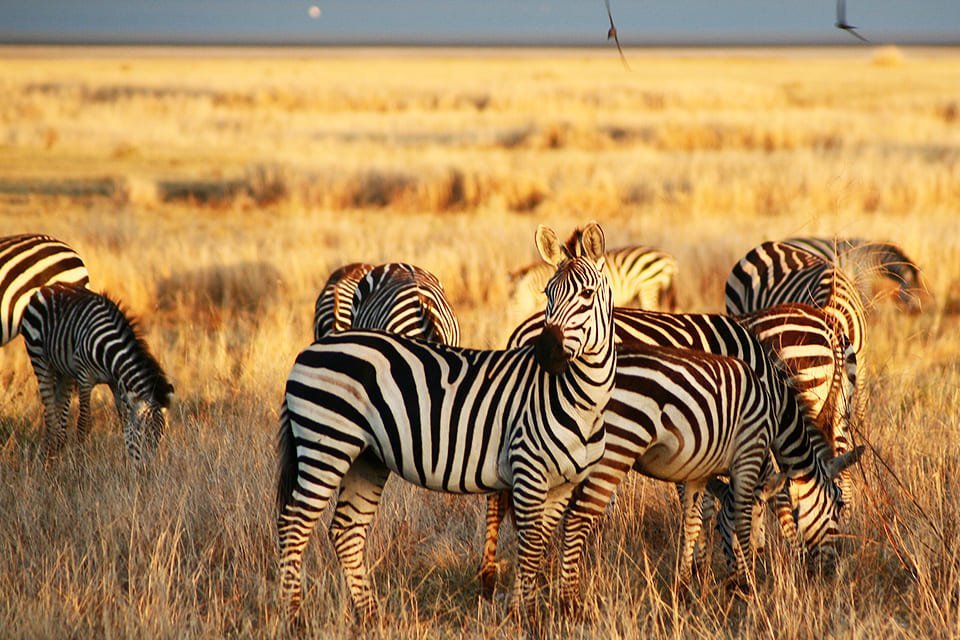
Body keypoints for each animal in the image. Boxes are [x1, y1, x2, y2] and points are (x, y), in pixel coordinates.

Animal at [21, 284, 175, 464]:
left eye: (159, 439)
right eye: (143, 436)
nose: (147, 468)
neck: (110, 353)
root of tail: (48, 287)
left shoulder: (116, 383)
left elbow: (125, 424)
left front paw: (128, 465)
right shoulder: (84, 378)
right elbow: (83, 424)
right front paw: (79, 464)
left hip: (64, 370)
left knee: (55, 411)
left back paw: (52, 456)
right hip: (39, 358)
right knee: (50, 414)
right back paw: (47, 460)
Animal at [278, 221, 620, 620]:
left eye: (587, 294)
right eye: (547, 294)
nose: (545, 354)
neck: (583, 400)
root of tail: (312, 348)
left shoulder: (564, 484)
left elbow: (554, 542)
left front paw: (556, 610)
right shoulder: (528, 471)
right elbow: (532, 545)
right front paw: (524, 616)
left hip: (366, 457)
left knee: (346, 531)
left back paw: (370, 616)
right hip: (326, 445)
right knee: (293, 525)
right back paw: (293, 617)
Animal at [480, 304, 864, 604]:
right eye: (837, 508)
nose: (830, 573)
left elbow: (707, 503)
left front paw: (707, 570)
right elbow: (749, 500)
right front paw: (730, 566)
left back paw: (496, 576)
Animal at [784, 236, 928, 314]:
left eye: (921, 290)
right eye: (912, 290)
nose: (917, 312)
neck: (876, 258)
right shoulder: (863, 275)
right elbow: (866, 303)